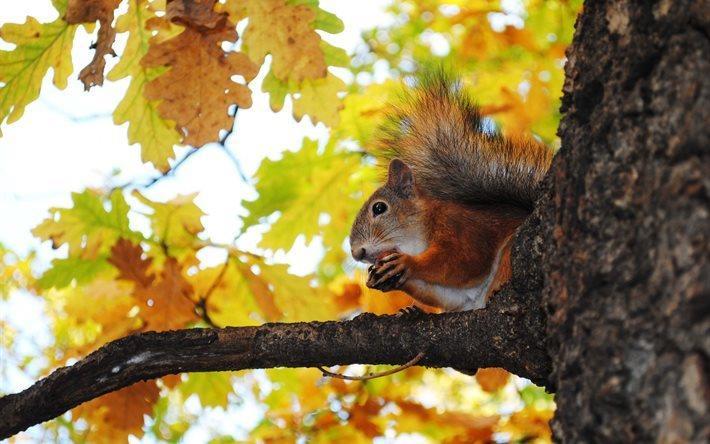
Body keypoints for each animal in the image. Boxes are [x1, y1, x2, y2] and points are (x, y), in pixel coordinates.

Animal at [350, 70, 556, 312]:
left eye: (379, 208)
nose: (357, 253)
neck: (417, 236)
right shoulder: (457, 296)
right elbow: (449, 294)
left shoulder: (462, 226)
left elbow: (465, 261)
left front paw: (407, 263)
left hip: (509, 252)